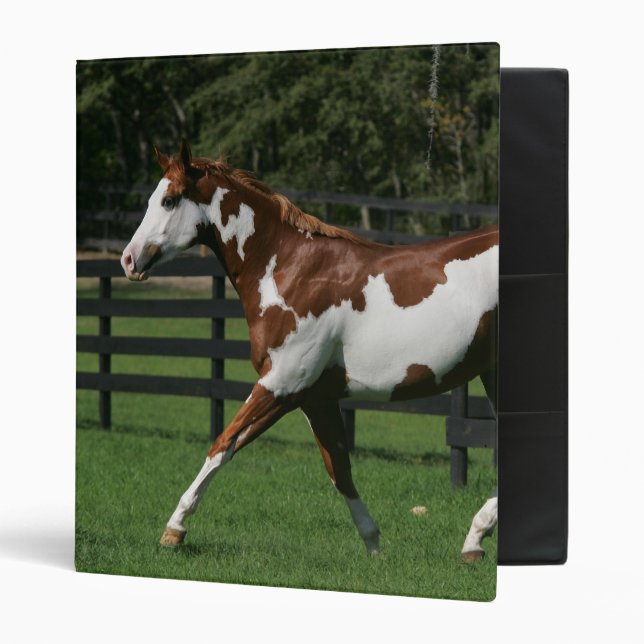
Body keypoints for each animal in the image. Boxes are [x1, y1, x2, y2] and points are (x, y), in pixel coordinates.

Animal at [120, 141, 499, 560]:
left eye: (169, 200)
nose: (128, 260)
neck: (291, 270)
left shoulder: (280, 384)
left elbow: (222, 444)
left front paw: (175, 528)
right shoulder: (311, 397)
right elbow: (338, 469)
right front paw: (374, 545)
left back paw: (477, 535)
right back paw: (475, 540)